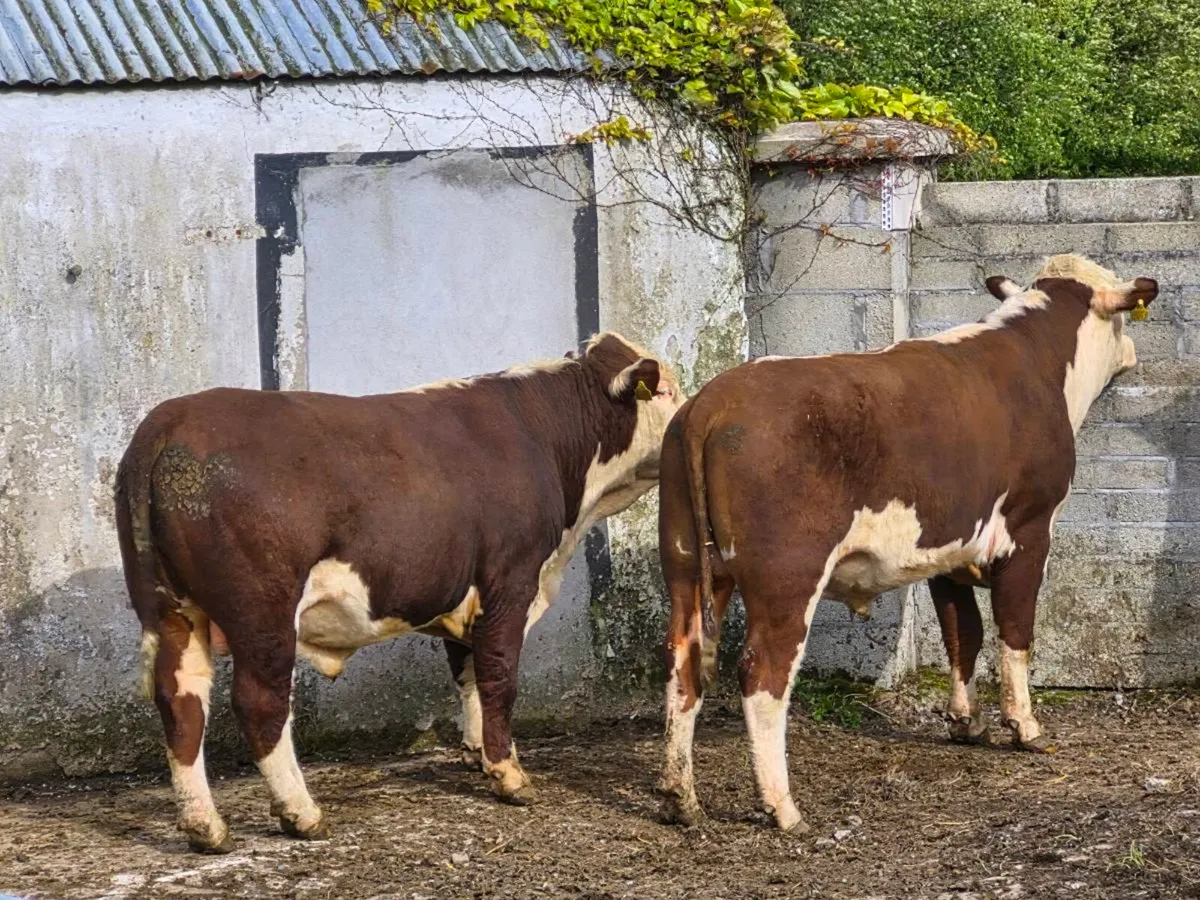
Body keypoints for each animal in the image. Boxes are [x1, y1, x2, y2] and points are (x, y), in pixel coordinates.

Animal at [114, 332, 683, 853]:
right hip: (263, 613)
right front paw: (508, 774)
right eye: (666, 390)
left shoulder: (464, 591)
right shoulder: (511, 578)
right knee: (260, 703)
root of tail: (169, 421)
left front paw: (475, 752)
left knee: (181, 702)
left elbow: (467, 671)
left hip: (170, 608)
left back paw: (204, 826)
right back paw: (301, 813)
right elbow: (499, 674)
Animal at [655, 254, 1158, 833]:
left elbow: (963, 634)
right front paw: (1025, 727)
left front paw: (966, 722)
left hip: (687, 566)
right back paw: (782, 806)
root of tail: (713, 401)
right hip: (787, 578)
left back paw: (679, 796)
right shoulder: (1029, 531)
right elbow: (1014, 633)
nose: (1133, 352)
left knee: (683, 664)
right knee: (762, 674)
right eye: (1121, 319)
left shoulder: (947, 546)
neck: (1039, 360)